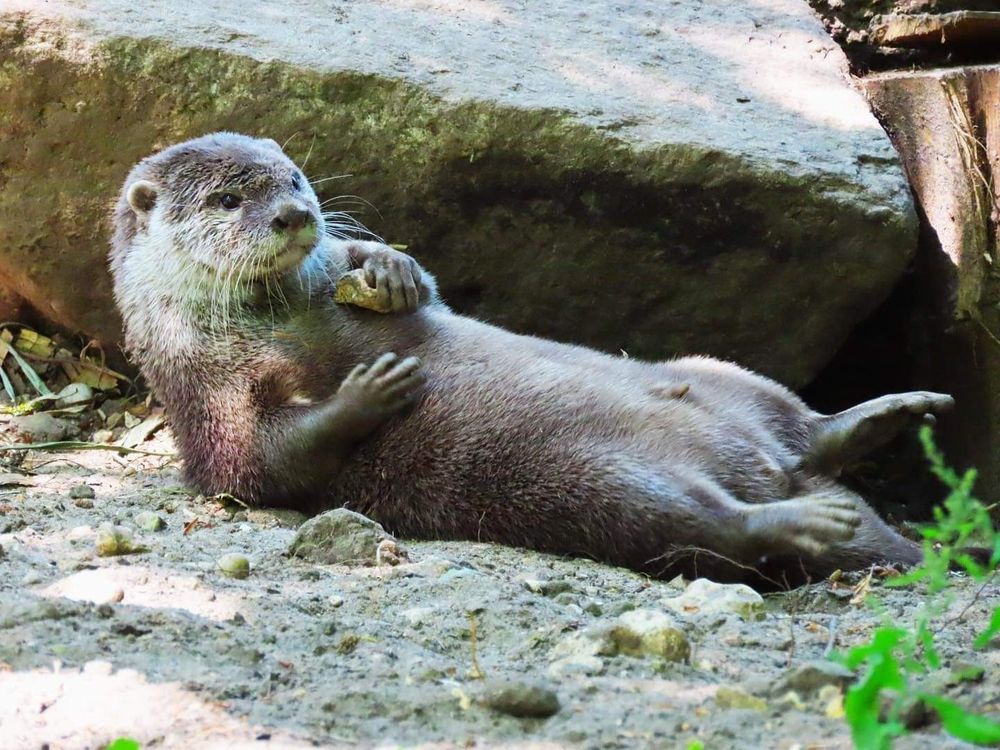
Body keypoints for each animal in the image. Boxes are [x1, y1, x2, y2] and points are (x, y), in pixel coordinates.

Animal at [110, 132, 954, 585]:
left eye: (291, 179)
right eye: (227, 200)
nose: (295, 214)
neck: (279, 321)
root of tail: (771, 470)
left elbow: (422, 291)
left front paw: (389, 272)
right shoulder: (206, 403)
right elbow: (269, 463)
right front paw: (369, 392)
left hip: (718, 371)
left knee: (800, 424)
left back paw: (885, 416)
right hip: (592, 487)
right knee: (706, 529)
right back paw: (806, 519)